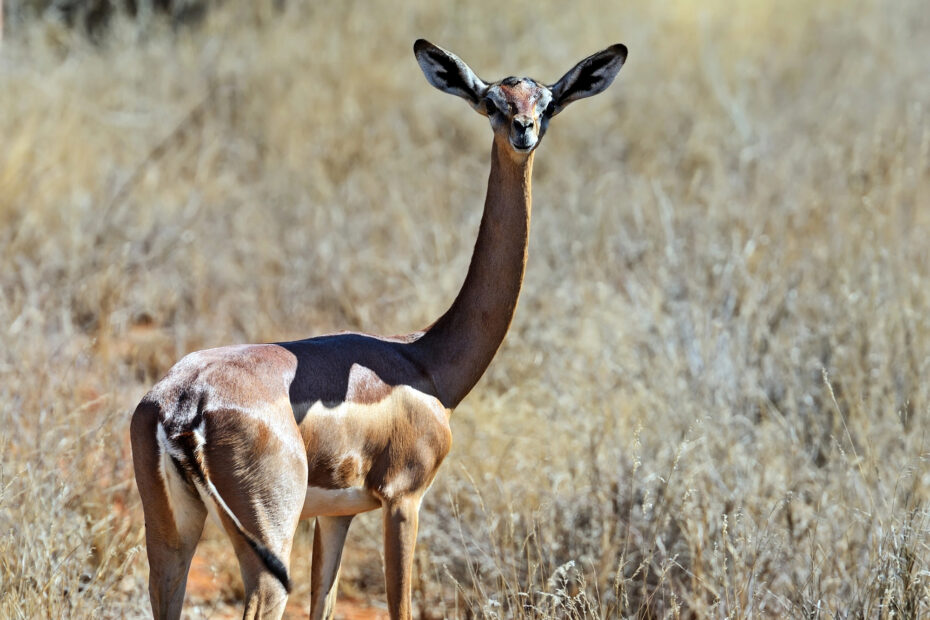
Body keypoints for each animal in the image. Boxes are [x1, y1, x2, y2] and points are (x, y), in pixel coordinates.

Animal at [130, 39, 627, 619]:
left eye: (546, 102)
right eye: (491, 102)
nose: (523, 129)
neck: (425, 361)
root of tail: (183, 404)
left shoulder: (336, 515)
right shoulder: (403, 500)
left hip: (170, 537)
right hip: (267, 549)